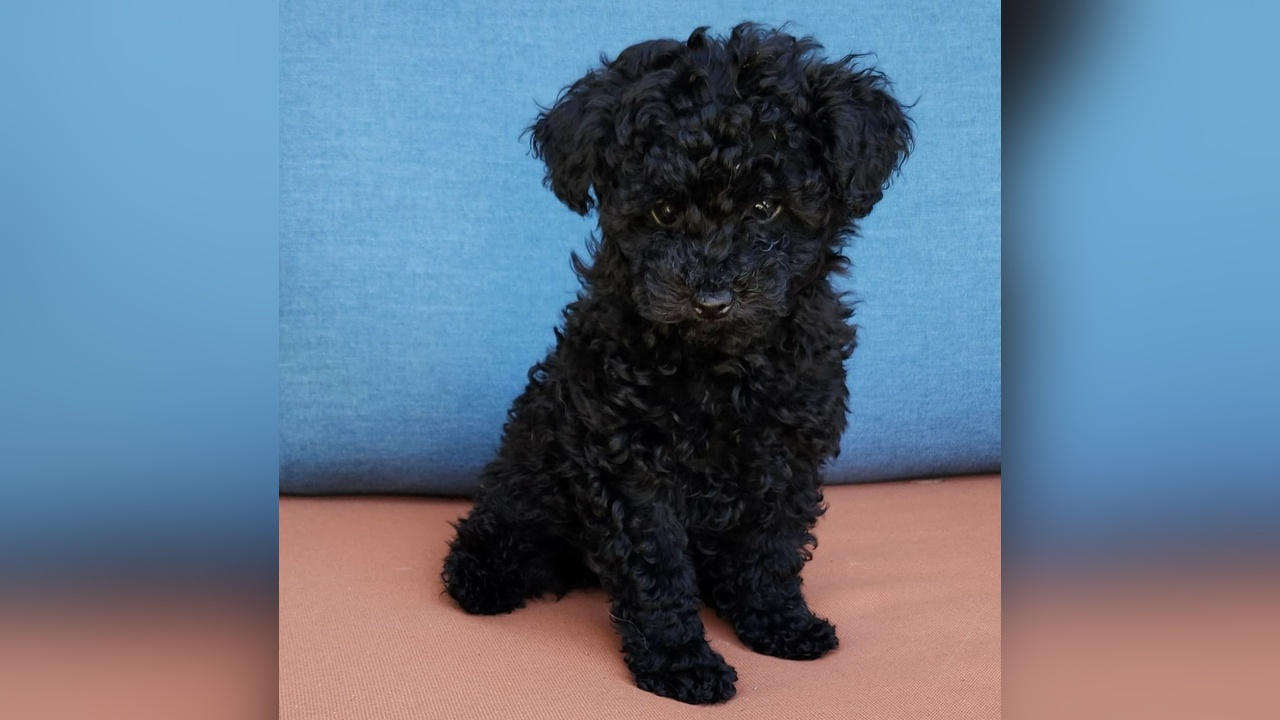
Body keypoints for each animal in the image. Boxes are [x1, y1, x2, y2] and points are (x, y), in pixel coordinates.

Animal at [442, 23, 911, 704]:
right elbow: (656, 568)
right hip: (532, 471)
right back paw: (484, 574)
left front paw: (778, 622)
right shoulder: (631, 464)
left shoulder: (788, 451)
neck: (720, 366)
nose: (712, 299)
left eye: (766, 209)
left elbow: (771, 549)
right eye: (663, 211)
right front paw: (681, 662)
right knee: (503, 521)